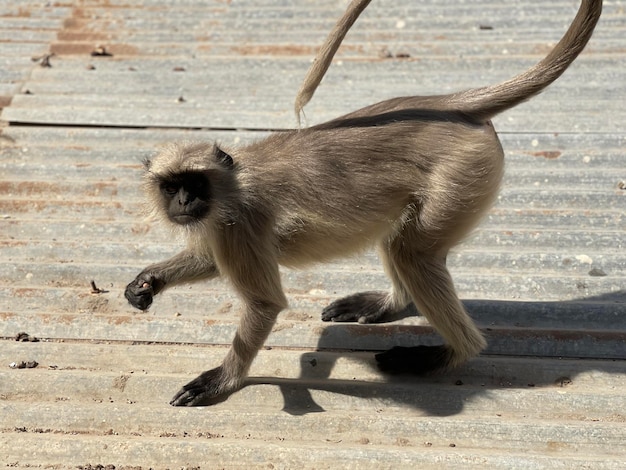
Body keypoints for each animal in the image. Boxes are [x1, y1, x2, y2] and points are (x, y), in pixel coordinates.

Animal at [125, 0, 600, 406]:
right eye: (171, 186)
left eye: (195, 182)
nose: (184, 200)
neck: (234, 182)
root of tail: (448, 104)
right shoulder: (221, 226)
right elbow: (208, 259)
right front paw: (149, 281)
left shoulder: (241, 222)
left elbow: (264, 305)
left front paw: (225, 379)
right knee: (403, 242)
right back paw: (392, 304)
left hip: (462, 172)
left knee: (410, 252)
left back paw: (449, 355)